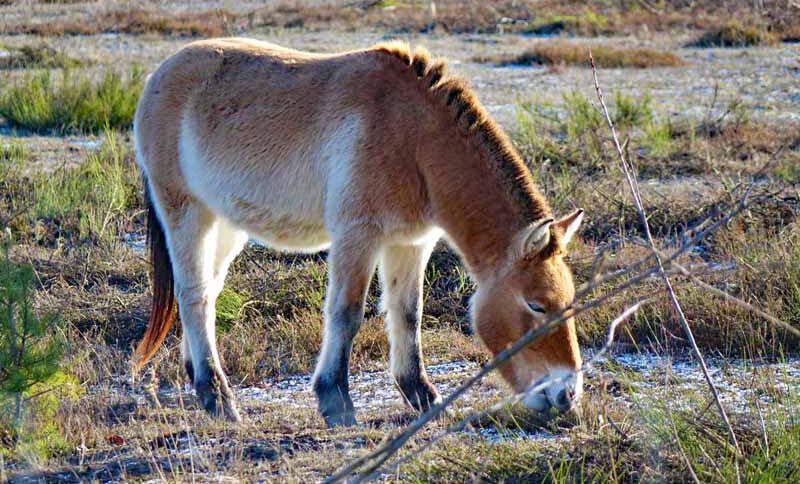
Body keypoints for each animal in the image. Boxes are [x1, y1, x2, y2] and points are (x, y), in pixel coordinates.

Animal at [132, 38, 585, 427]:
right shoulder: (357, 237)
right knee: (193, 295)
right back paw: (217, 396)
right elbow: (346, 313)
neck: (414, 137)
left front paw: (422, 395)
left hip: (225, 227)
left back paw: (199, 379)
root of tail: (160, 75)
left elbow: (407, 313)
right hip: (187, 214)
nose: (566, 395)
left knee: (206, 293)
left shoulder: (411, 243)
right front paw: (336, 402)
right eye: (536, 305)